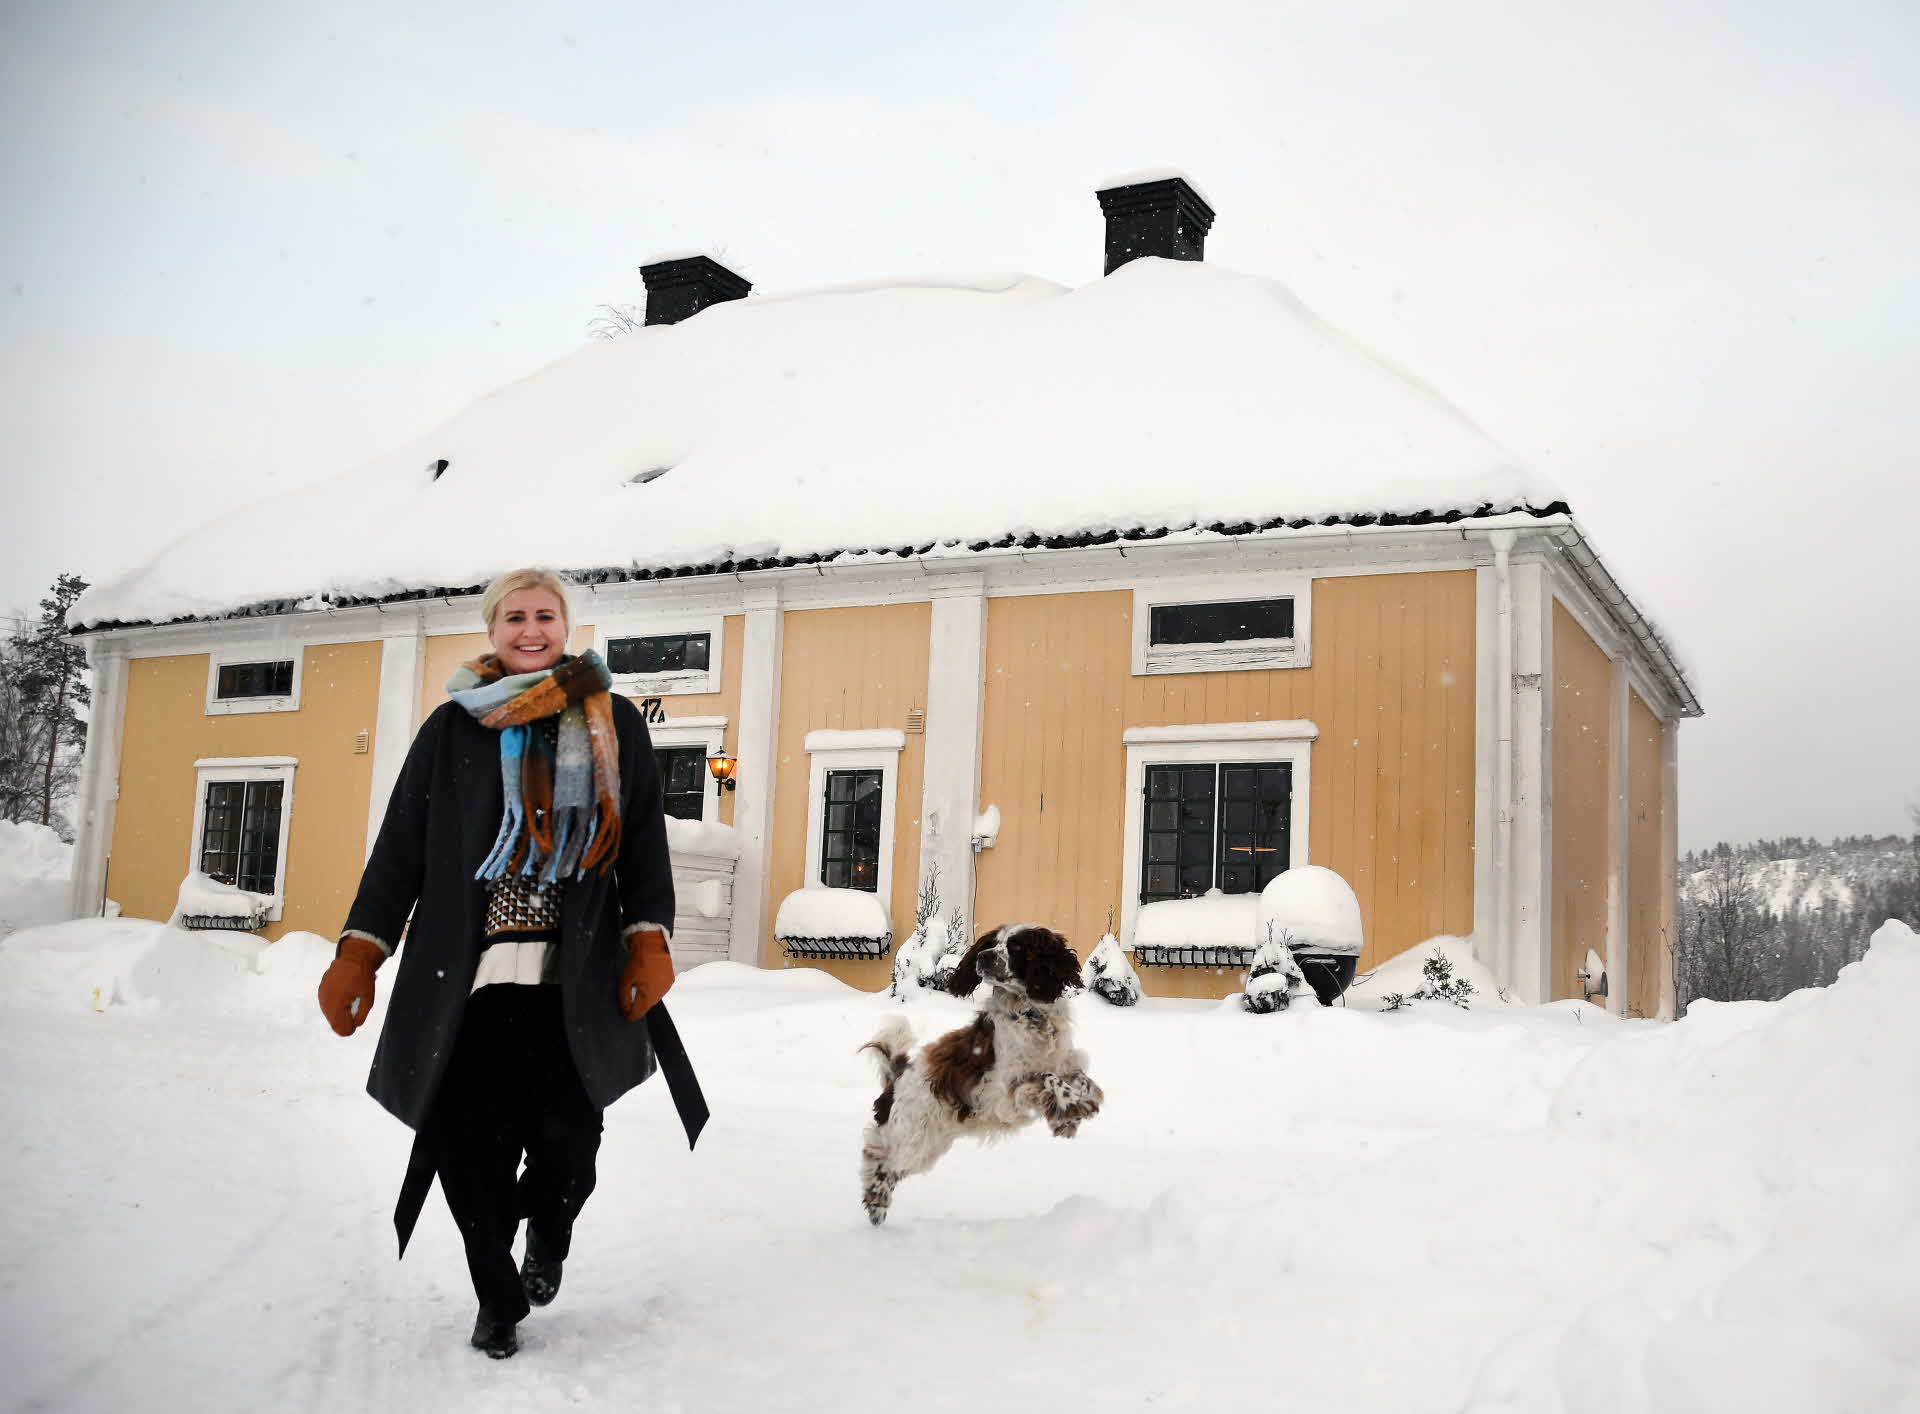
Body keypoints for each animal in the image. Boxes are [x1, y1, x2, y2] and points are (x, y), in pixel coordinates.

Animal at [860, 929, 1105, 1229]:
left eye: (1016, 946)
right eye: (991, 943)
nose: (983, 957)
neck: (1030, 1014)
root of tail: (897, 1075)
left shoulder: (1064, 1061)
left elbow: (1080, 1078)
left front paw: (1076, 1110)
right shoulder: (1006, 1088)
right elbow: (1047, 1079)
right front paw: (1071, 1105)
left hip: (929, 1144)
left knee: (888, 1163)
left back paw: (878, 1204)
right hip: (912, 1136)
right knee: (878, 1156)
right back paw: (877, 1202)